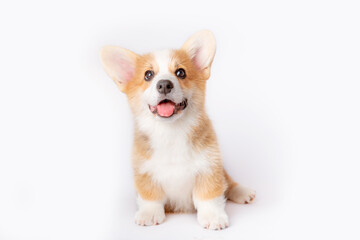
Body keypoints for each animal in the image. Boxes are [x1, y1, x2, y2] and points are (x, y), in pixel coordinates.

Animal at [100, 30, 255, 231]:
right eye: (148, 75)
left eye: (181, 72)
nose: (164, 84)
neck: (170, 131)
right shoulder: (144, 172)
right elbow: (150, 196)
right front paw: (149, 214)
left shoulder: (210, 167)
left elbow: (209, 196)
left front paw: (213, 217)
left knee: (228, 182)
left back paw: (243, 192)